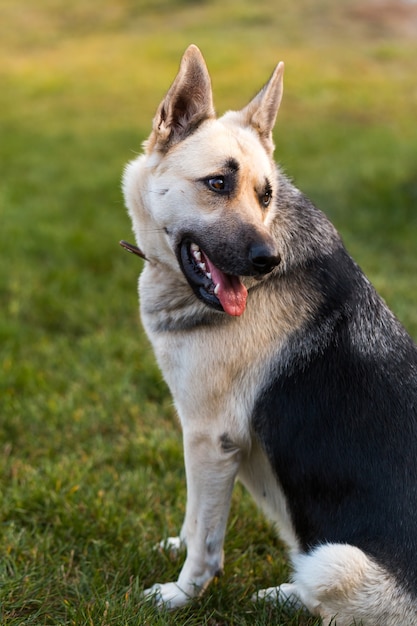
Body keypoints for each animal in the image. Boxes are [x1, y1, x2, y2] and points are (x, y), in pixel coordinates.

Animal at [122, 45, 416, 624]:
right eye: (217, 183)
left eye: (266, 195)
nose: (267, 260)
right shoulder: (198, 435)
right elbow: (194, 517)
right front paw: (174, 547)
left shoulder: (212, 437)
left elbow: (207, 542)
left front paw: (178, 595)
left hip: (336, 561)